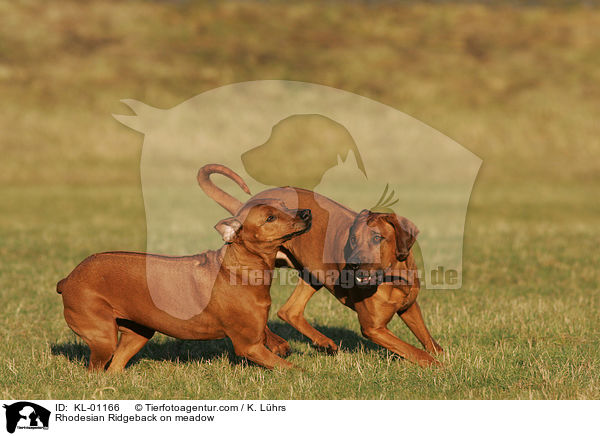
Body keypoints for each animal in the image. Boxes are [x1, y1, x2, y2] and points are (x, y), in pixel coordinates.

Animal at [56, 198, 312, 372]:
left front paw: (280, 344)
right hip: (103, 336)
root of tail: (67, 279)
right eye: (270, 218)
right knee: (95, 371)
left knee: (114, 368)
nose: (307, 212)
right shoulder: (249, 346)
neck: (241, 269)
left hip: (138, 333)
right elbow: (293, 369)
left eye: (284, 204)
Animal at [199, 165, 442, 366]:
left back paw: (323, 342)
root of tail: (246, 206)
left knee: (289, 311)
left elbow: (429, 341)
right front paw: (438, 367)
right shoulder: (374, 328)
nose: (353, 265)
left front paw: (442, 355)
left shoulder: (409, 307)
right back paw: (277, 343)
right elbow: (416, 351)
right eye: (353, 239)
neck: (393, 278)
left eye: (377, 238)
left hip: (312, 274)